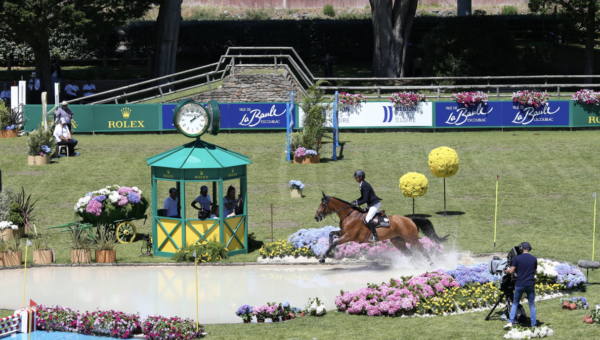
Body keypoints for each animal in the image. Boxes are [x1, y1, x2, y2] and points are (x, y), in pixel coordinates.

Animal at [316, 193, 448, 264]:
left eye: (323, 204)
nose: (316, 217)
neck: (349, 215)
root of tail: (409, 219)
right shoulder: (343, 233)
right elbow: (331, 234)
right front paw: (326, 252)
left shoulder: (348, 236)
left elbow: (334, 242)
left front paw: (323, 258)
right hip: (397, 241)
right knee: (409, 253)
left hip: (411, 239)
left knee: (423, 250)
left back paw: (431, 265)